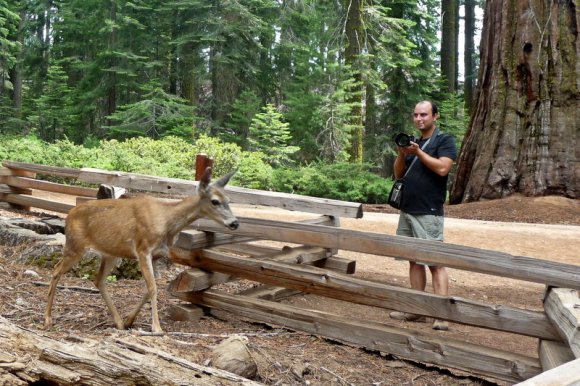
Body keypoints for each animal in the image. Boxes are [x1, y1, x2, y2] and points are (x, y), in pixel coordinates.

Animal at [42, 167, 238, 334]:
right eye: (215, 201)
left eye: (229, 200)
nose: (235, 223)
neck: (167, 222)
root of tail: (68, 215)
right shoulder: (143, 249)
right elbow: (152, 287)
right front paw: (156, 328)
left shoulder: (157, 254)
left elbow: (149, 288)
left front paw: (130, 320)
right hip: (75, 246)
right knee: (56, 270)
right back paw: (47, 319)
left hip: (111, 253)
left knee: (98, 280)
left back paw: (119, 322)